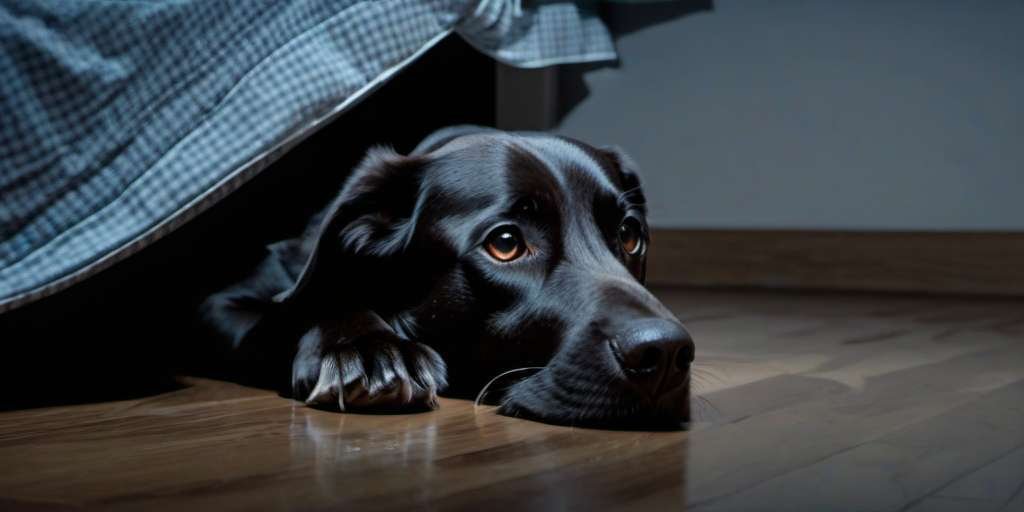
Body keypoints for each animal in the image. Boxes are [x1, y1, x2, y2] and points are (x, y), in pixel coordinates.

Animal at [199, 124, 696, 428]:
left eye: (630, 235)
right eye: (505, 243)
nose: (666, 353)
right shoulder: (223, 306)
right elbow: (294, 310)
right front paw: (369, 349)